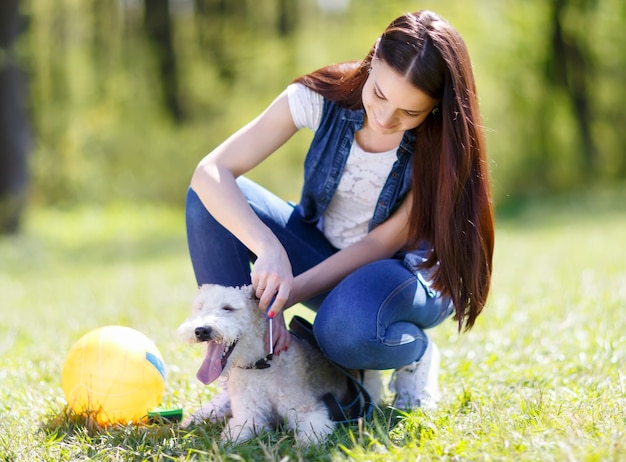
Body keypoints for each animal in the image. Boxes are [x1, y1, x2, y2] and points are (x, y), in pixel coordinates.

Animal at [177, 284, 380, 446]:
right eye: (200, 307)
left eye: (228, 308)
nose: (201, 330)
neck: (261, 365)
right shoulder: (248, 416)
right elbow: (235, 436)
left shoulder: (308, 411)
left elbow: (311, 434)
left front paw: (305, 447)